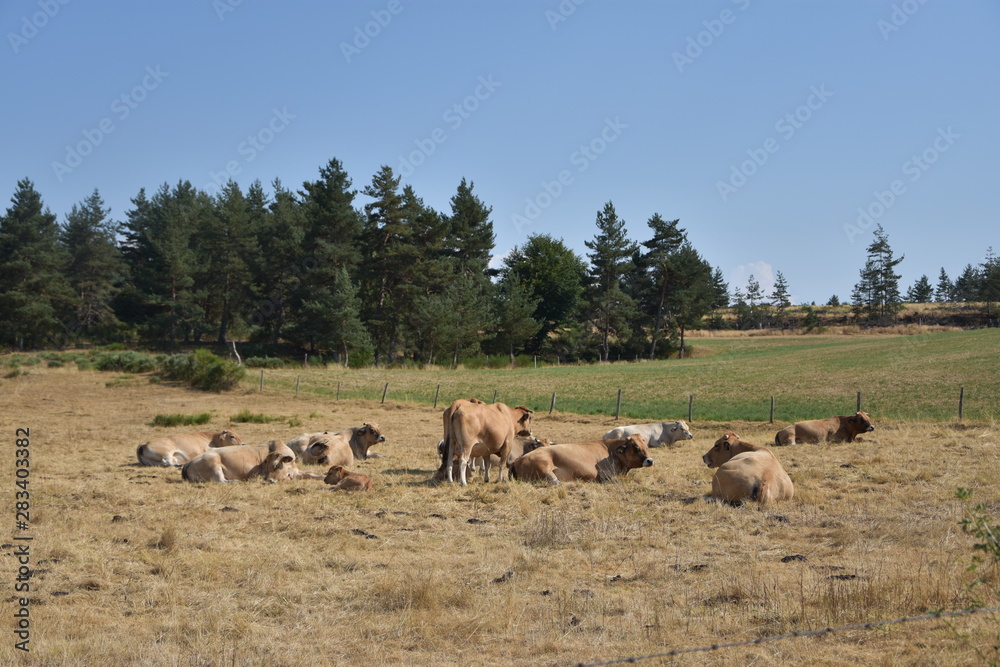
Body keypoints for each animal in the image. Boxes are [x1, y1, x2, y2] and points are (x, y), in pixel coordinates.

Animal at [181, 440, 323, 483]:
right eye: (269, 466)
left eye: (276, 465)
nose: (269, 480)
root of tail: (190, 462)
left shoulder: (297, 471)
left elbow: (311, 474)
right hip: (214, 464)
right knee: (221, 480)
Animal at [511, 434, 653, 485]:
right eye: (635, 447)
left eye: (645, 446)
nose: (650, 460)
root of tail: (518, 461)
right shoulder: (605, 476)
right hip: (545, 469)